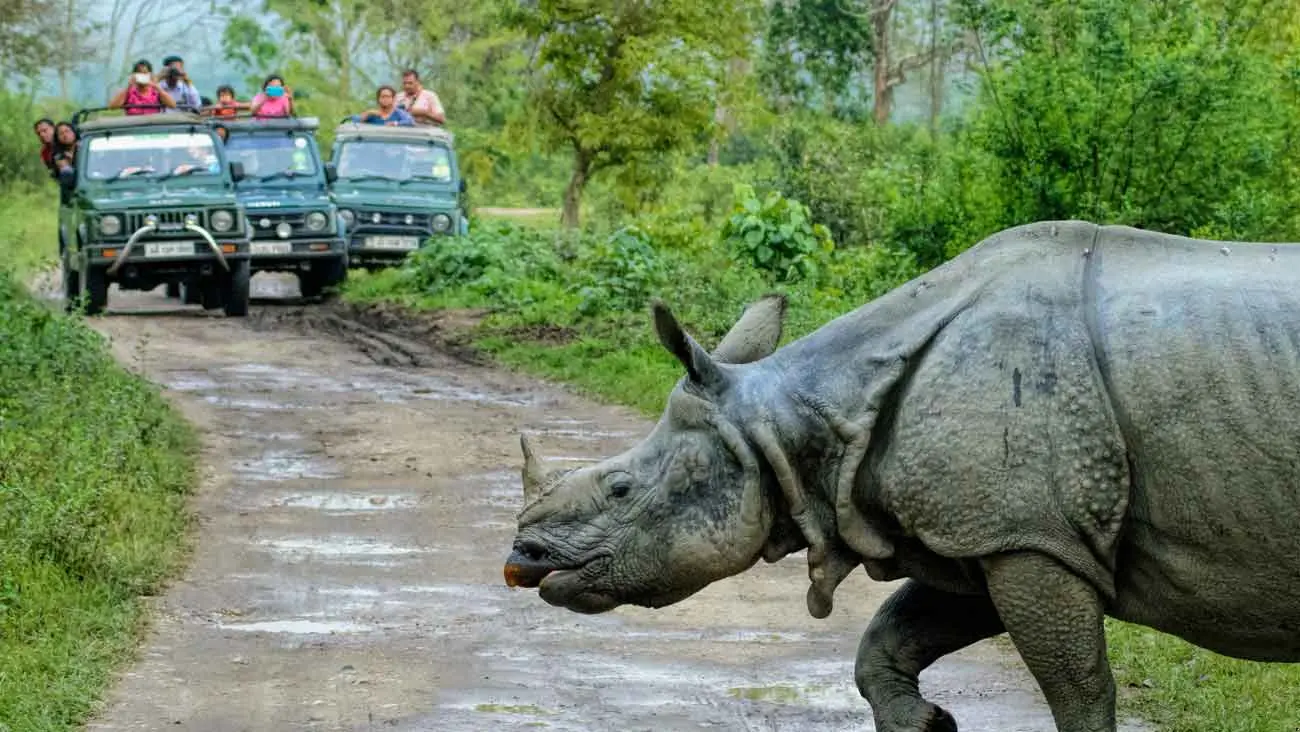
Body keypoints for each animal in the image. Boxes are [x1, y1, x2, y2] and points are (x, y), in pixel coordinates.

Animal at [502, 220, 1300, 732]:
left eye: (621, 491)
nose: (521, 559)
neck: (795, 420)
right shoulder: (997, 532)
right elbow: (885, 642)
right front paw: (929, 724)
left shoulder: (1031, 535)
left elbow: (1080, 693)